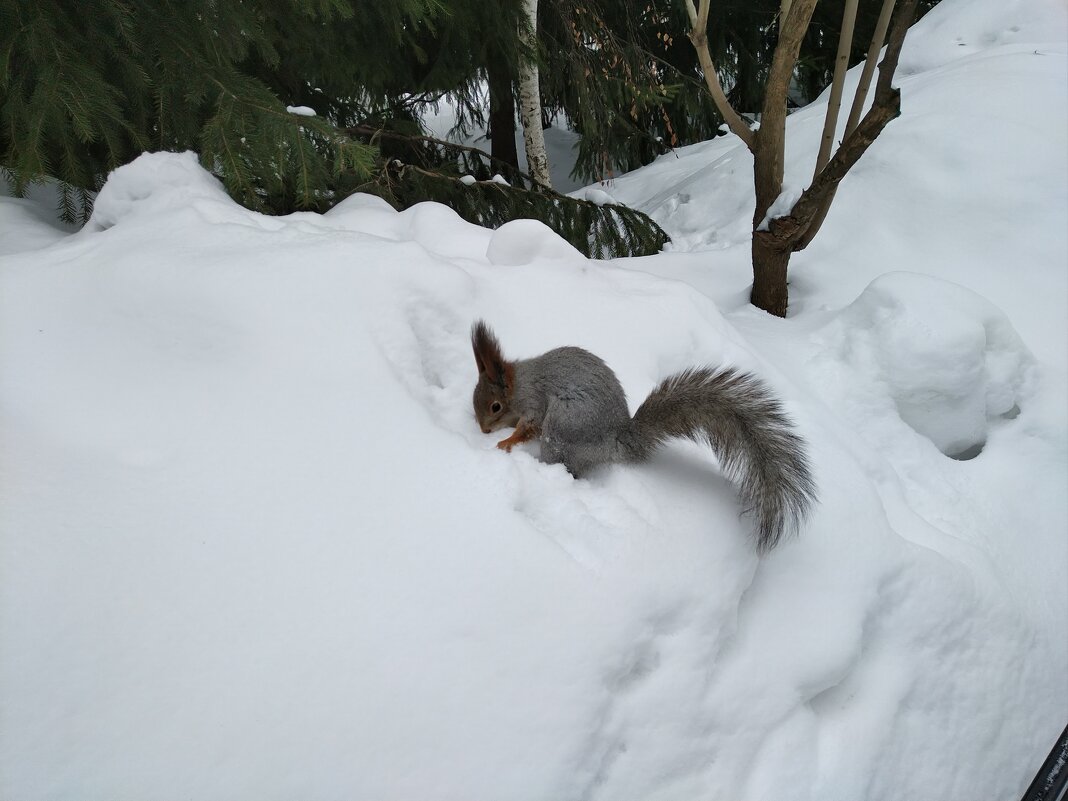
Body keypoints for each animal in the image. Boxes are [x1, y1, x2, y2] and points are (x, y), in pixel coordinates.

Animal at [469, 320, 815, 551]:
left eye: (495, 406)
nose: (483, 430)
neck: (518, 384)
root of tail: (615, 442)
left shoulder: (535, 404)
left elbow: (528, 427)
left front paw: (505, 442)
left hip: (563, 423)